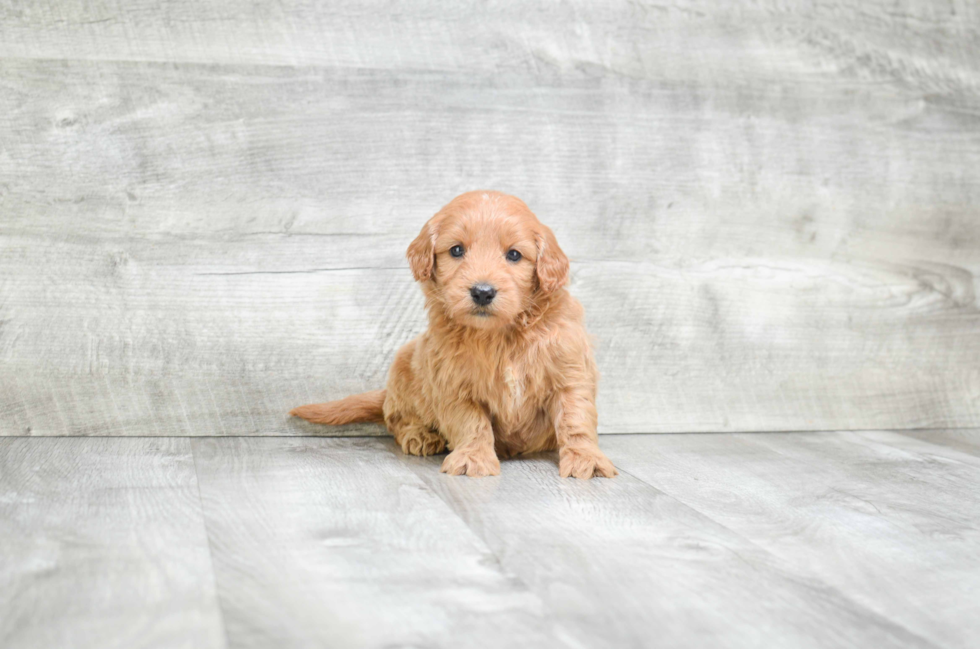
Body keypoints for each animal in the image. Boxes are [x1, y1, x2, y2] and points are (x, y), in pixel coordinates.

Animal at [288, 190, 616, 478]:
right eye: (457, 250)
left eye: (514, 255)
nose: (482, 291)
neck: (499, 335)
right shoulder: (453, 382)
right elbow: (471, 423)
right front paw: (474, 458)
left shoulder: (569, 372)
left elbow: (576, 419)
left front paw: (587, 459)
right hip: (405, 366)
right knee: (397, 419)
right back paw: (420, 435)